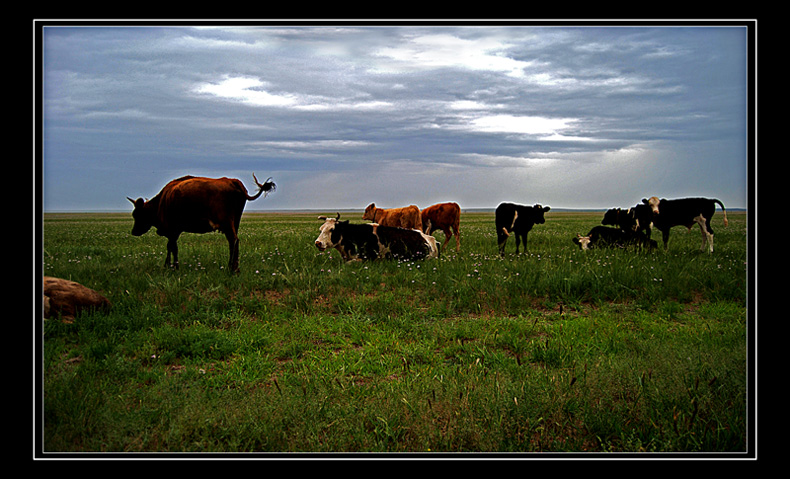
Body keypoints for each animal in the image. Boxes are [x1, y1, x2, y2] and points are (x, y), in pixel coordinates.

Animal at [128, 172, 276, 272]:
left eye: (138, 214)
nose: (134, 232)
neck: (162, 201)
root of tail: (232, 181)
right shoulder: (174, 231)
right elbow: (171, 247)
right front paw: (170, 265)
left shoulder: (173, 229)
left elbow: (172, 247)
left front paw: (172, 266)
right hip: (235, 222)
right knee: (233, 242)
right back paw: (233, 267)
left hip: (227, 222)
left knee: (233, 241)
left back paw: (232, 269)